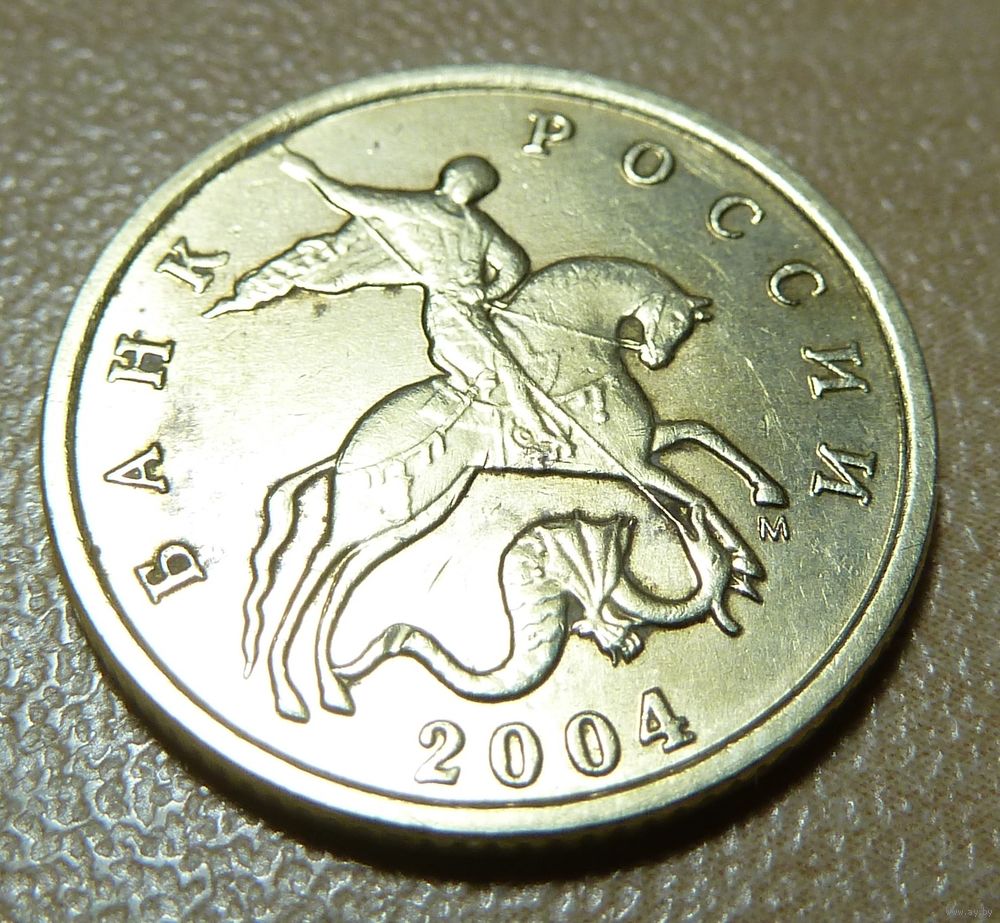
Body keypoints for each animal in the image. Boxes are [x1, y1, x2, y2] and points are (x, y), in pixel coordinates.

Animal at [241, 257, 786, 720]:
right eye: (675, 320)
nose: (655, 358)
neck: (573, 357)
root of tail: (347, 450)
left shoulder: (642, 450)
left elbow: (703, 436)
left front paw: (761, 507)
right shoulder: (634, 462)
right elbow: (697, 495)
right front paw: (743, 558)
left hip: (415, 515)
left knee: (340, 578)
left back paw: (323, 689)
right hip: (369, 516)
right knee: (312, 572)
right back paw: (296, 692)